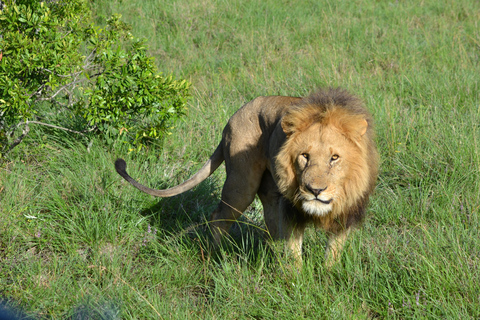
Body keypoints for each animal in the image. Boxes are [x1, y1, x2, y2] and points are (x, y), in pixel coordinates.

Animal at [116, 88, 378, 268]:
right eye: (305, 156)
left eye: (334, 158)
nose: (315, 190)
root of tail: (232, 118)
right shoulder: (291, 210)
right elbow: (295, 253)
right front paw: (297, 282)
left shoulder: (346, 213)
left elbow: (333, 251)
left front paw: (326, 274)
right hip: (241, 184)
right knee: (218, 217)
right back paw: (216, 257)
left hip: (269, 189)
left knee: (271, 226)